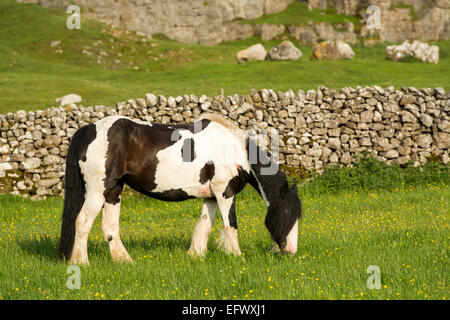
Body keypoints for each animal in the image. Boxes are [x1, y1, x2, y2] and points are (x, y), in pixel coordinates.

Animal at [57, 114, 302, 264]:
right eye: (288, 212)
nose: (291, 251)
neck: (235, 150)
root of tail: (88, 130)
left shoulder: (211, 197)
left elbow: (204, 226)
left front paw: (195, 256)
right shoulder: (225, 192)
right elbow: (230, 226)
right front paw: (238, 257)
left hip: (113, 192)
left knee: (110, 228)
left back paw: (124, 260)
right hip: (97, 192)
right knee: (82, 222)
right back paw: (81, 262)